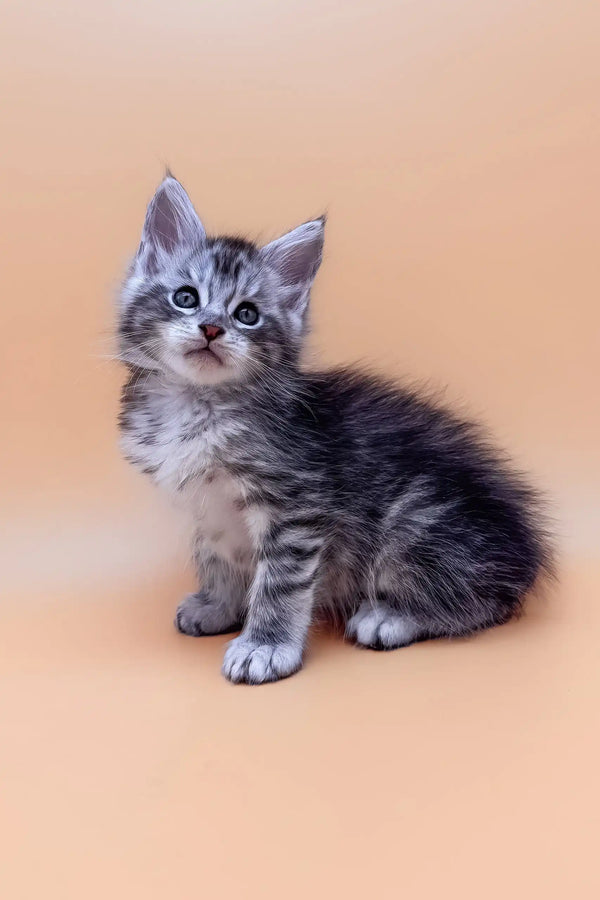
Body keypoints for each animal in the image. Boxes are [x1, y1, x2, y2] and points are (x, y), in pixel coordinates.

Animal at [118, 174, 552, 684]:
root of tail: (524, 547)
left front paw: (264, 645)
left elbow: (280, 583)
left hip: (414, 518)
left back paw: (391, 616)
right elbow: (217, 556)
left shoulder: (297, 504)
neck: (197, 404)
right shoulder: (207, 510)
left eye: (247, 314)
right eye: (186, 297)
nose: (210, 328)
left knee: (489, 600)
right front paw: (218, 604)